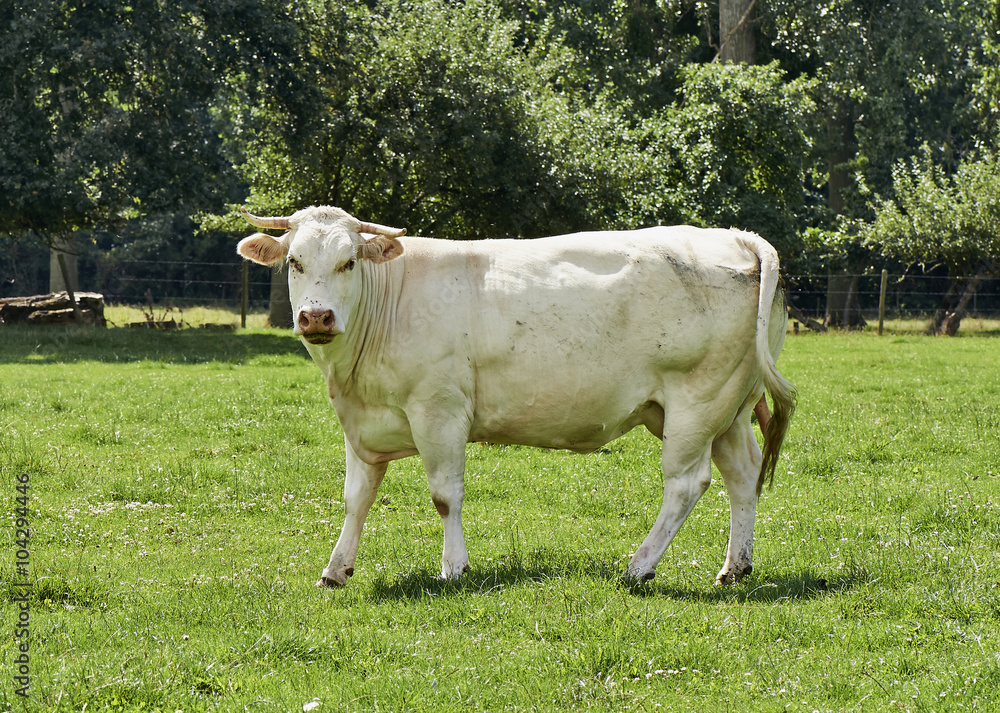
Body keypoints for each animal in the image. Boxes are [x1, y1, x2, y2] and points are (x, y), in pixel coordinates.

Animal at [238, 203, 792, 588]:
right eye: (294, 261)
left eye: (349, 262)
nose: (316, 316)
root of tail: (734, 235)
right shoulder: (363, 422)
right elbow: (356, 499)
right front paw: (335, 570)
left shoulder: (439, 411)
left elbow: (445, 496)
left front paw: (453, 569)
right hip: (728, 408)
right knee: (743, 474)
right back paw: (734, 569)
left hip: (695, 404)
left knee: (685, 484)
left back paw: (638, 567)